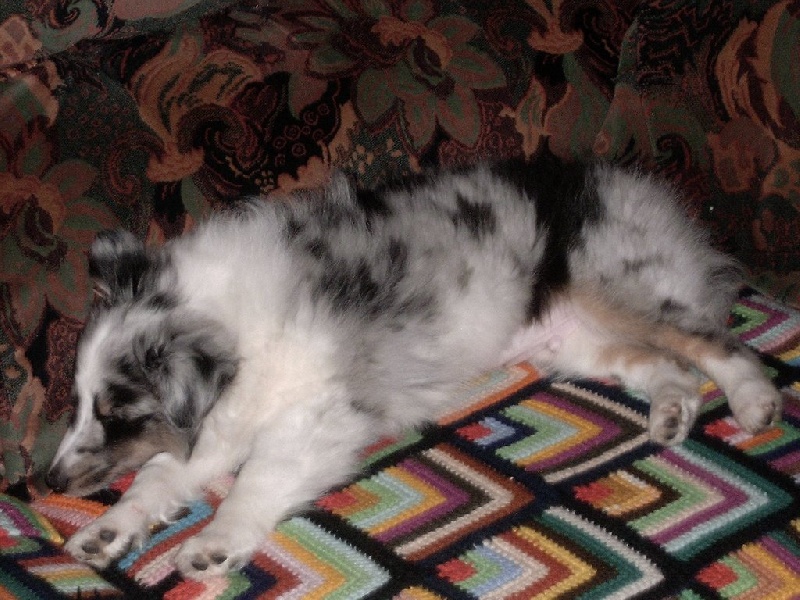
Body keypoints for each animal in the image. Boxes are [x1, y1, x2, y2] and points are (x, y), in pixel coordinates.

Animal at [47, 157, 782, 579]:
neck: (235, 330)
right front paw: (108, 532)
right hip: (573, 339)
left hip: (620, 288)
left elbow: (257, 479)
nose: (45, 481)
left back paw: (755, 403)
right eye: (79, 404)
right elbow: (158, 474)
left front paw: (213, 545)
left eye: (116, 411)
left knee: (718, 345)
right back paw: (671, 413)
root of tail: (647, 189)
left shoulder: (318, 420)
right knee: (669, 366)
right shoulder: (218, 424)